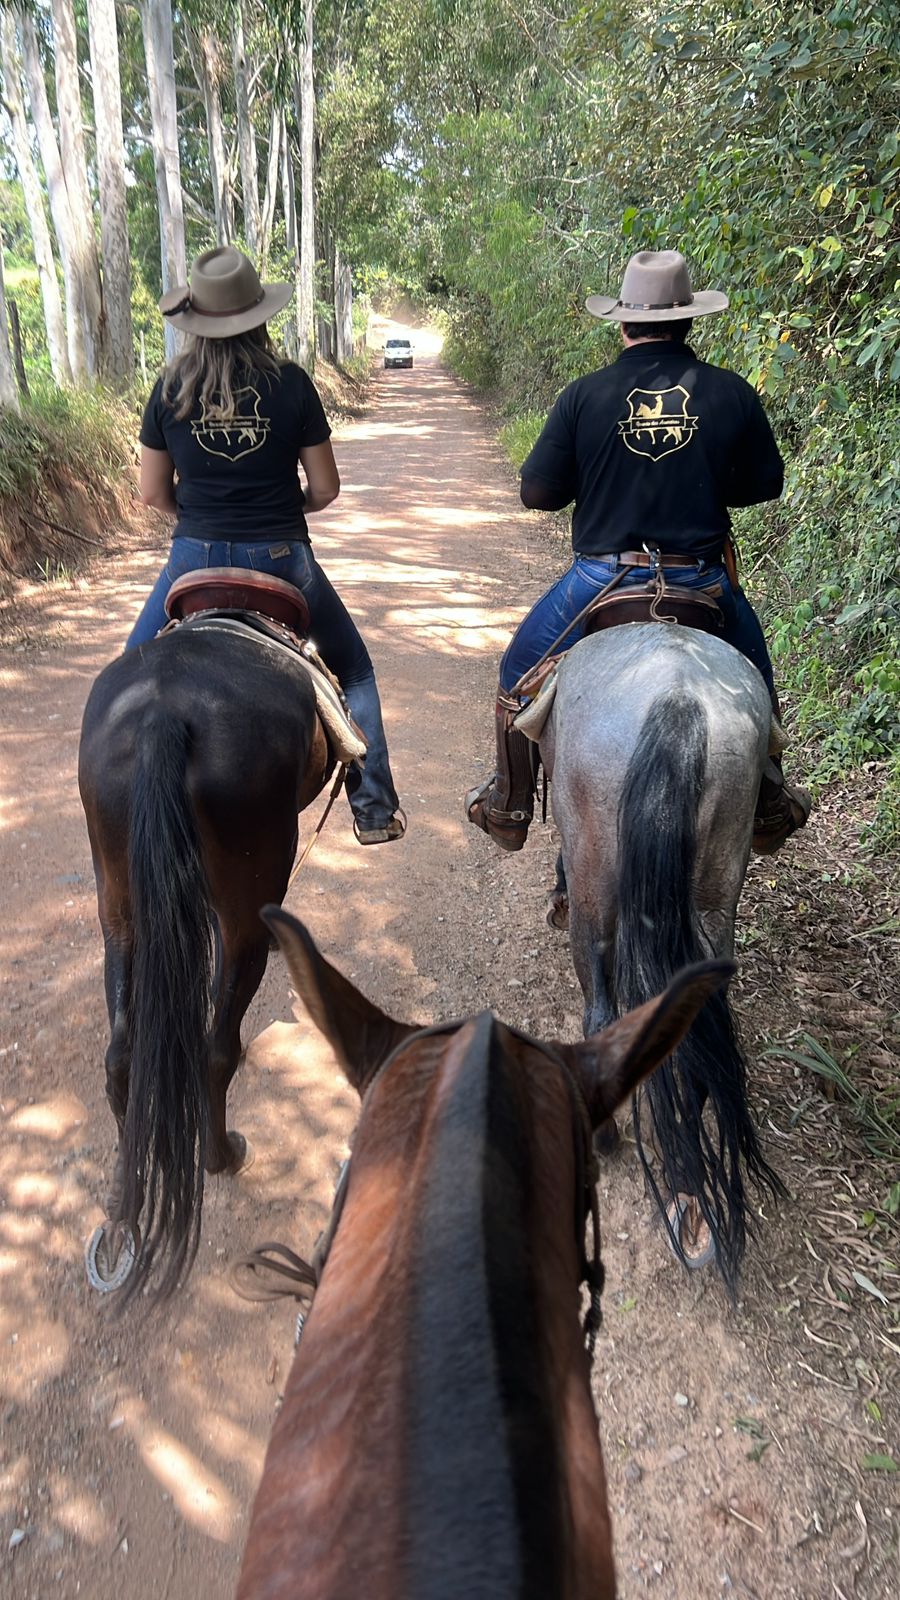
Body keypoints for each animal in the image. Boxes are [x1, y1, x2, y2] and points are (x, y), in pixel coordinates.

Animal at [78, 621, 336, 1300]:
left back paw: (125, 1194)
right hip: (252, 874)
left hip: (118, 895)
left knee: (122, 1054)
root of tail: (161, 713)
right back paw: (224, 1155)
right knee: (217, 1047)